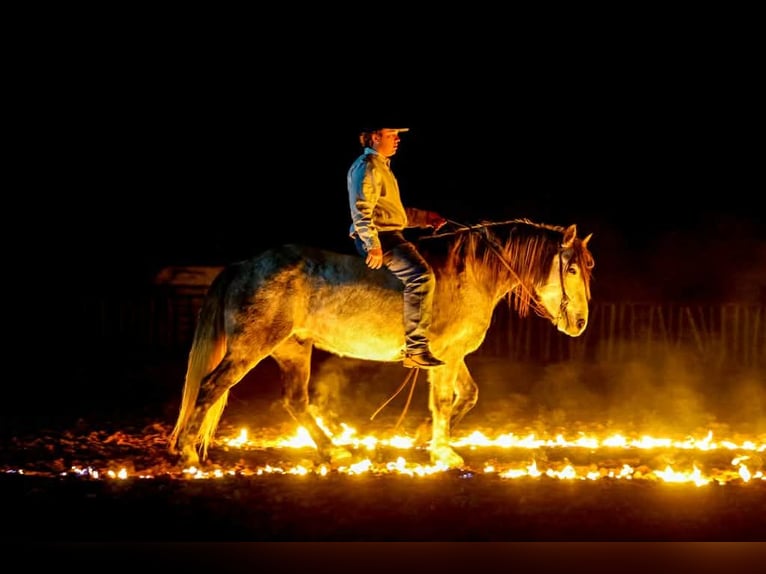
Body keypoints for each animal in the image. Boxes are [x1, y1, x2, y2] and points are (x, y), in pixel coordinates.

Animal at [168, 218, 595, 469]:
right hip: (250, 348)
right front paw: (444, 452)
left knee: (296, 402)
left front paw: (424, 437)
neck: (472, 273)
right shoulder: (448, 355)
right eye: (572, 269)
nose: (580, 323)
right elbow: (444, 401)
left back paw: (333, 450)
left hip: (293, 350)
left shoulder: (450, 357)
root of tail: (244, 265)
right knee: (210, 387)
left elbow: (467, 396)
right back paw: (187, 452)